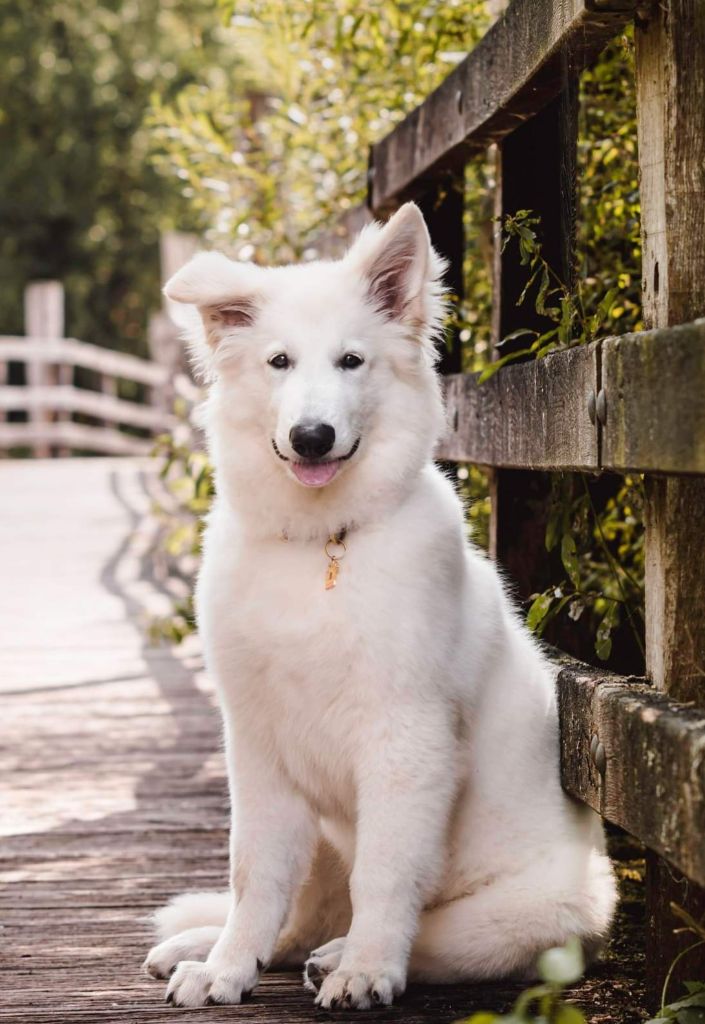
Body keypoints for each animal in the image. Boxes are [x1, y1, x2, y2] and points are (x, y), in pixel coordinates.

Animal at [144, 201, 614, 1007]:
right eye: (278, 362)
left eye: (351, 362)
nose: (311, 437)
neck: (322, 543)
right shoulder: (258, 744)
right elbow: (254, 874)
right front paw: (228, 968)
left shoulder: (407, 743)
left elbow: (386, 876)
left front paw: (365, 969)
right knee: (302, 912)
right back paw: (208, 946)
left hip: (535, 912)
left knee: (431, 934)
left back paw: (340, 957)